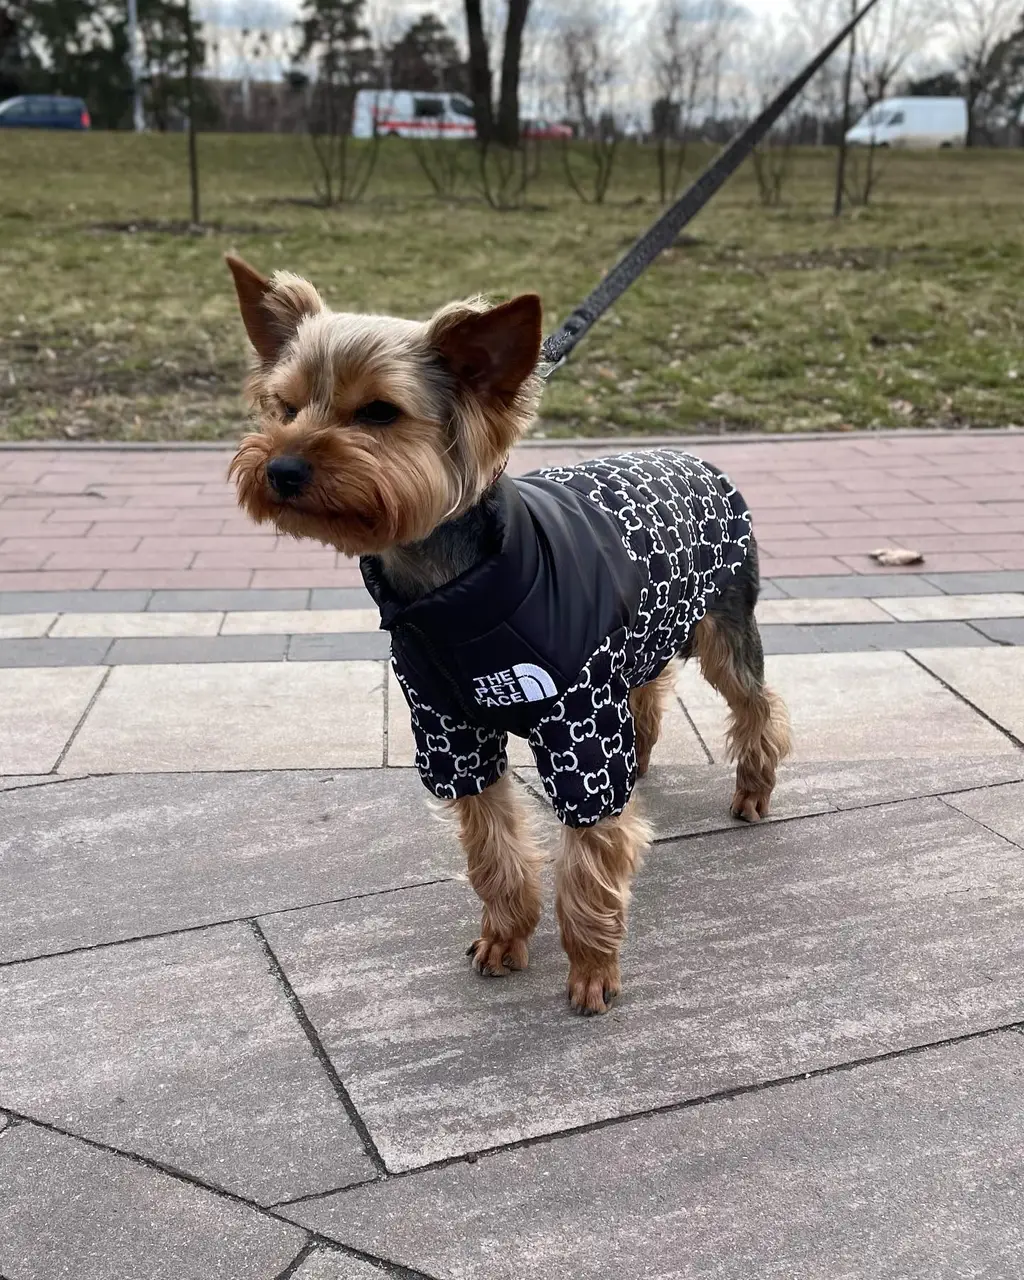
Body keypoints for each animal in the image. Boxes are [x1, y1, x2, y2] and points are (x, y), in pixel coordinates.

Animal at [227, 257, 793, 1018]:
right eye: (284, 408)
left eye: (379, 412)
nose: (281, 469)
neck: (448, 587)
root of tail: (699, 457)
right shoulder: (450, 729)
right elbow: (491, 843)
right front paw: (504, 936)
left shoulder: (580, 722)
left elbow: (590, 850)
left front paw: (591, 969)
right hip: (642, 631)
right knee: (648, 690)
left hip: (722, 622)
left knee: (755, 700)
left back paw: (754, 788)